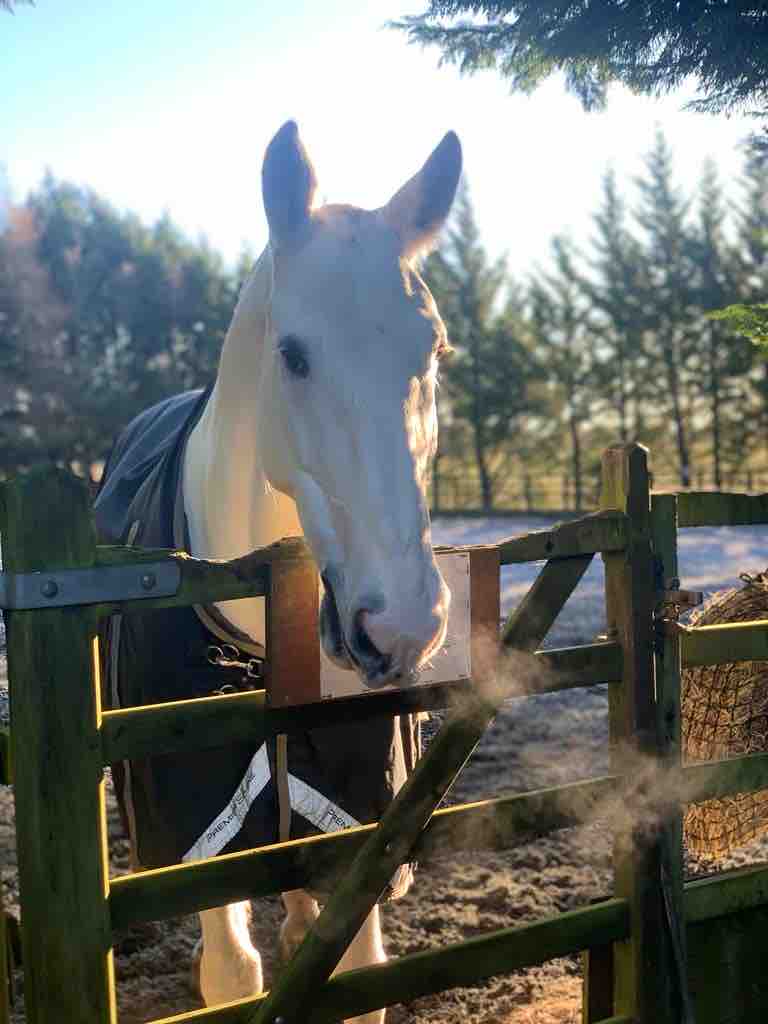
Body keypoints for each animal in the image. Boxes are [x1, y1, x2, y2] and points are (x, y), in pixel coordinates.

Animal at [93, 121, 460, 1024]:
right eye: (292, 355)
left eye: (434, 348)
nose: (400, 625)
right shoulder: (196, 844)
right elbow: (233, 976)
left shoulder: (358, 832)